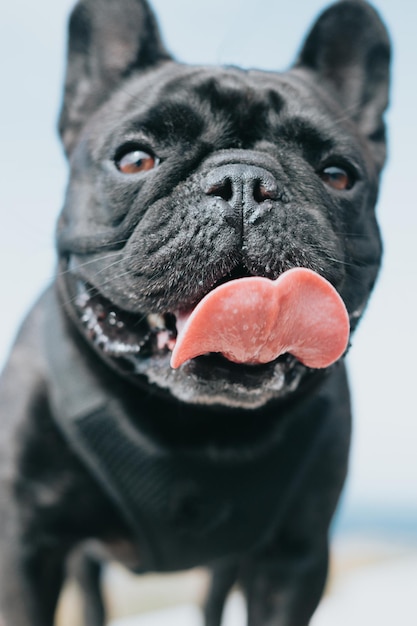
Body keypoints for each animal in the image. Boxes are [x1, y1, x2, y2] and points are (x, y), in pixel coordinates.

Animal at [0, 0, 390, 620]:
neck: (192, 424)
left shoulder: (293, 557)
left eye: (338, 175)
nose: (244, 182)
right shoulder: (29, 544)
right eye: (134, 160)